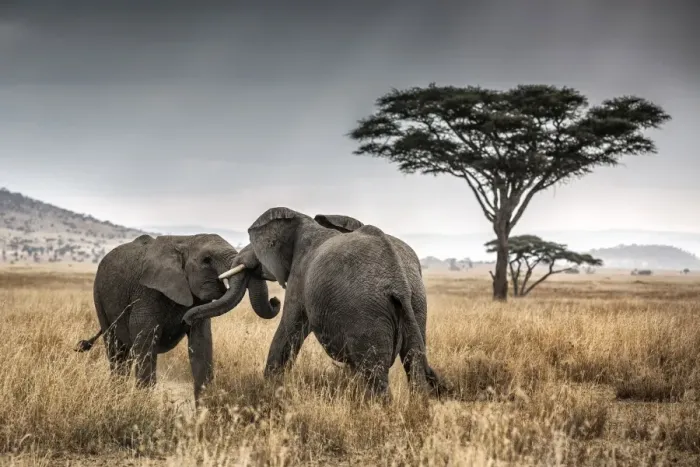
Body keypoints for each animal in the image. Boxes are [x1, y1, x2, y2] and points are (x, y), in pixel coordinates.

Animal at [75, 234, 281, 404]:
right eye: (207, 260)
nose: (275, 300)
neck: (185, 241)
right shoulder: (146, 293)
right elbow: (145, 343)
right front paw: (143, 406)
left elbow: (201, 343)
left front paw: (203, 412)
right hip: (99, 296)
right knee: (116, 351)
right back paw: (117, 394)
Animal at [183, 208, 443, 399]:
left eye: (258, 250)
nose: (186, 318)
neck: (302, 221)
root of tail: (399, 281)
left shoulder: (300, 273)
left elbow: (289, 329)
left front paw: (269, 392)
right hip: (416, 304)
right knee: (413, 362)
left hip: (369, 312)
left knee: (375, 371)